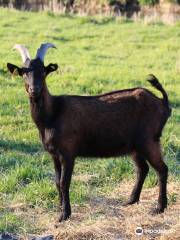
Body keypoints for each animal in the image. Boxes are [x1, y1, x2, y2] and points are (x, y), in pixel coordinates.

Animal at [6, 43, 170, 221]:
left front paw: (65, 214)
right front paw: (60, 208)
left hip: (149, 140)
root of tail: (163, 103)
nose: (34, 90)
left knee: (162, 169)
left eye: (43, 72)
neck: (53, 114)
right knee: (143, 169)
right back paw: (131, 200)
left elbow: (64, 182)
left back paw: (159, 207)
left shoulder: (68, 153)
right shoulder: (54, 154)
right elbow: (56, 182)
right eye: (24, 72)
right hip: (134, 146)